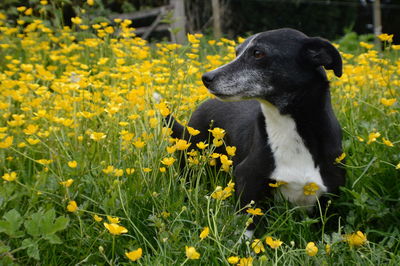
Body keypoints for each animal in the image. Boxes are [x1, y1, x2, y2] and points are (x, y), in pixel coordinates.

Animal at [167, 28, 346, 239]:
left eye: (258, 53)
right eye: (237, 52)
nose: (206, 78)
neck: (288, 129)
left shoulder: (331, 197)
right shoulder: (247, 179)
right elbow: (248, 227)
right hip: (191, 160)